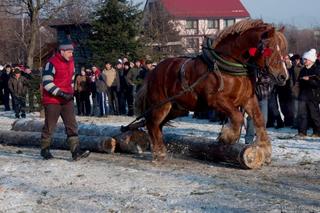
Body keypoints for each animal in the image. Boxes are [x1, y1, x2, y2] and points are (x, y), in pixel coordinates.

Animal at [134, 19, 288, 163]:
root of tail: (153, 71)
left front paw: (265, 149)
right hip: (161, 105)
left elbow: (259, 119)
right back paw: (158, 152)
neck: (231, 65)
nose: (283, 76)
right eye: (270, 48)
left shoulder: (248, 99)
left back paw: (160, 148)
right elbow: (237, 116)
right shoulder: (216, 100)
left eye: (283, 49)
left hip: (177, 108)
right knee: (152, 123)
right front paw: (227, 137)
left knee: (159, 125)